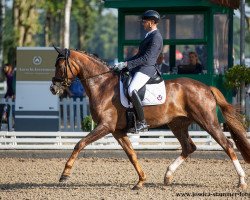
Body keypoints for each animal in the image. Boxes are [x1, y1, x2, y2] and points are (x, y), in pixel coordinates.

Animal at [49, 47, 249, 189]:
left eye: (59, 66)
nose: (53, 88)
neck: (102, 85)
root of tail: (206, 87)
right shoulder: (117, 131)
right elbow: (131, 154)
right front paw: (140, 181)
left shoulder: (105, 126)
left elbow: (79, 144)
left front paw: (65, 174)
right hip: (178, 124)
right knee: (189, 147)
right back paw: (167, 176)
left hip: (208, 121)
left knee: (227, 145)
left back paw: (241, 181)